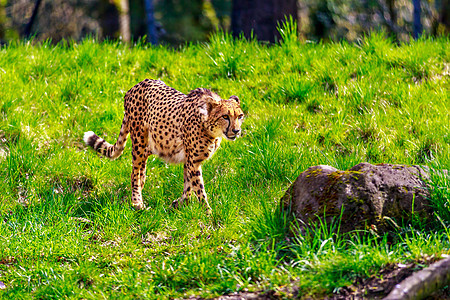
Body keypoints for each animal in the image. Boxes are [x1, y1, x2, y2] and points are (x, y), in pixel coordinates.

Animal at [82, 78, 244, 212]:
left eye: (240, 116)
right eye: (225, 116)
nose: (236, 131)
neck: (209, 127)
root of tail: (137, 85)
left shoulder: (189, 160)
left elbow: (188, 185)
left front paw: (180, 203)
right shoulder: (193, 161)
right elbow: (199, 188)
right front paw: (208, 213)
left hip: (153, 142)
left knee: (142, 167)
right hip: (139, 140)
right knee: (135, 171)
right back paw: (137, 201)